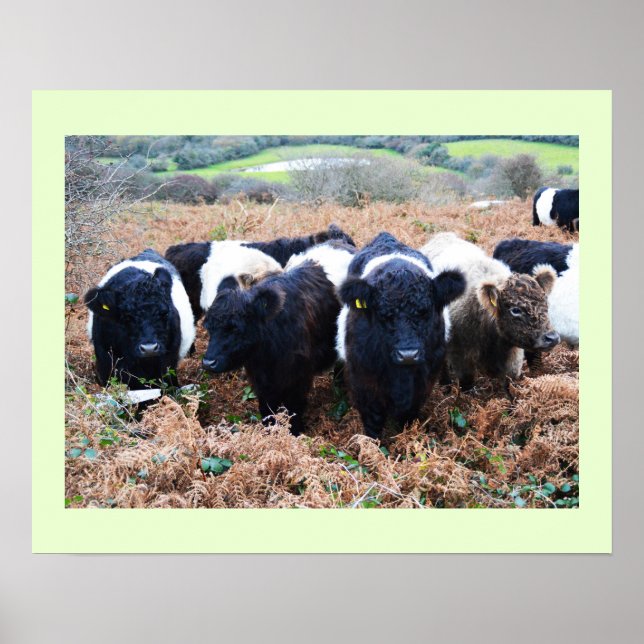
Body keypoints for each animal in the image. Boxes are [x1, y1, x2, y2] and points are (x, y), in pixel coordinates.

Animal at [200, 244, 353, 435]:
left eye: (236, 328)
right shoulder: (261, 379)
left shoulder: (298, 378)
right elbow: (267, 409)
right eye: (209, 327)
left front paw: (295, 433)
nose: (208, 363)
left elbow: (293, 410)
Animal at [337, 232, 465, 440]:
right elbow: (373, 421)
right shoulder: (364, 381)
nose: (408, 355)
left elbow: (408, 416)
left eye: (425, 311)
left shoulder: (424, 381)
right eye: (383, 314)